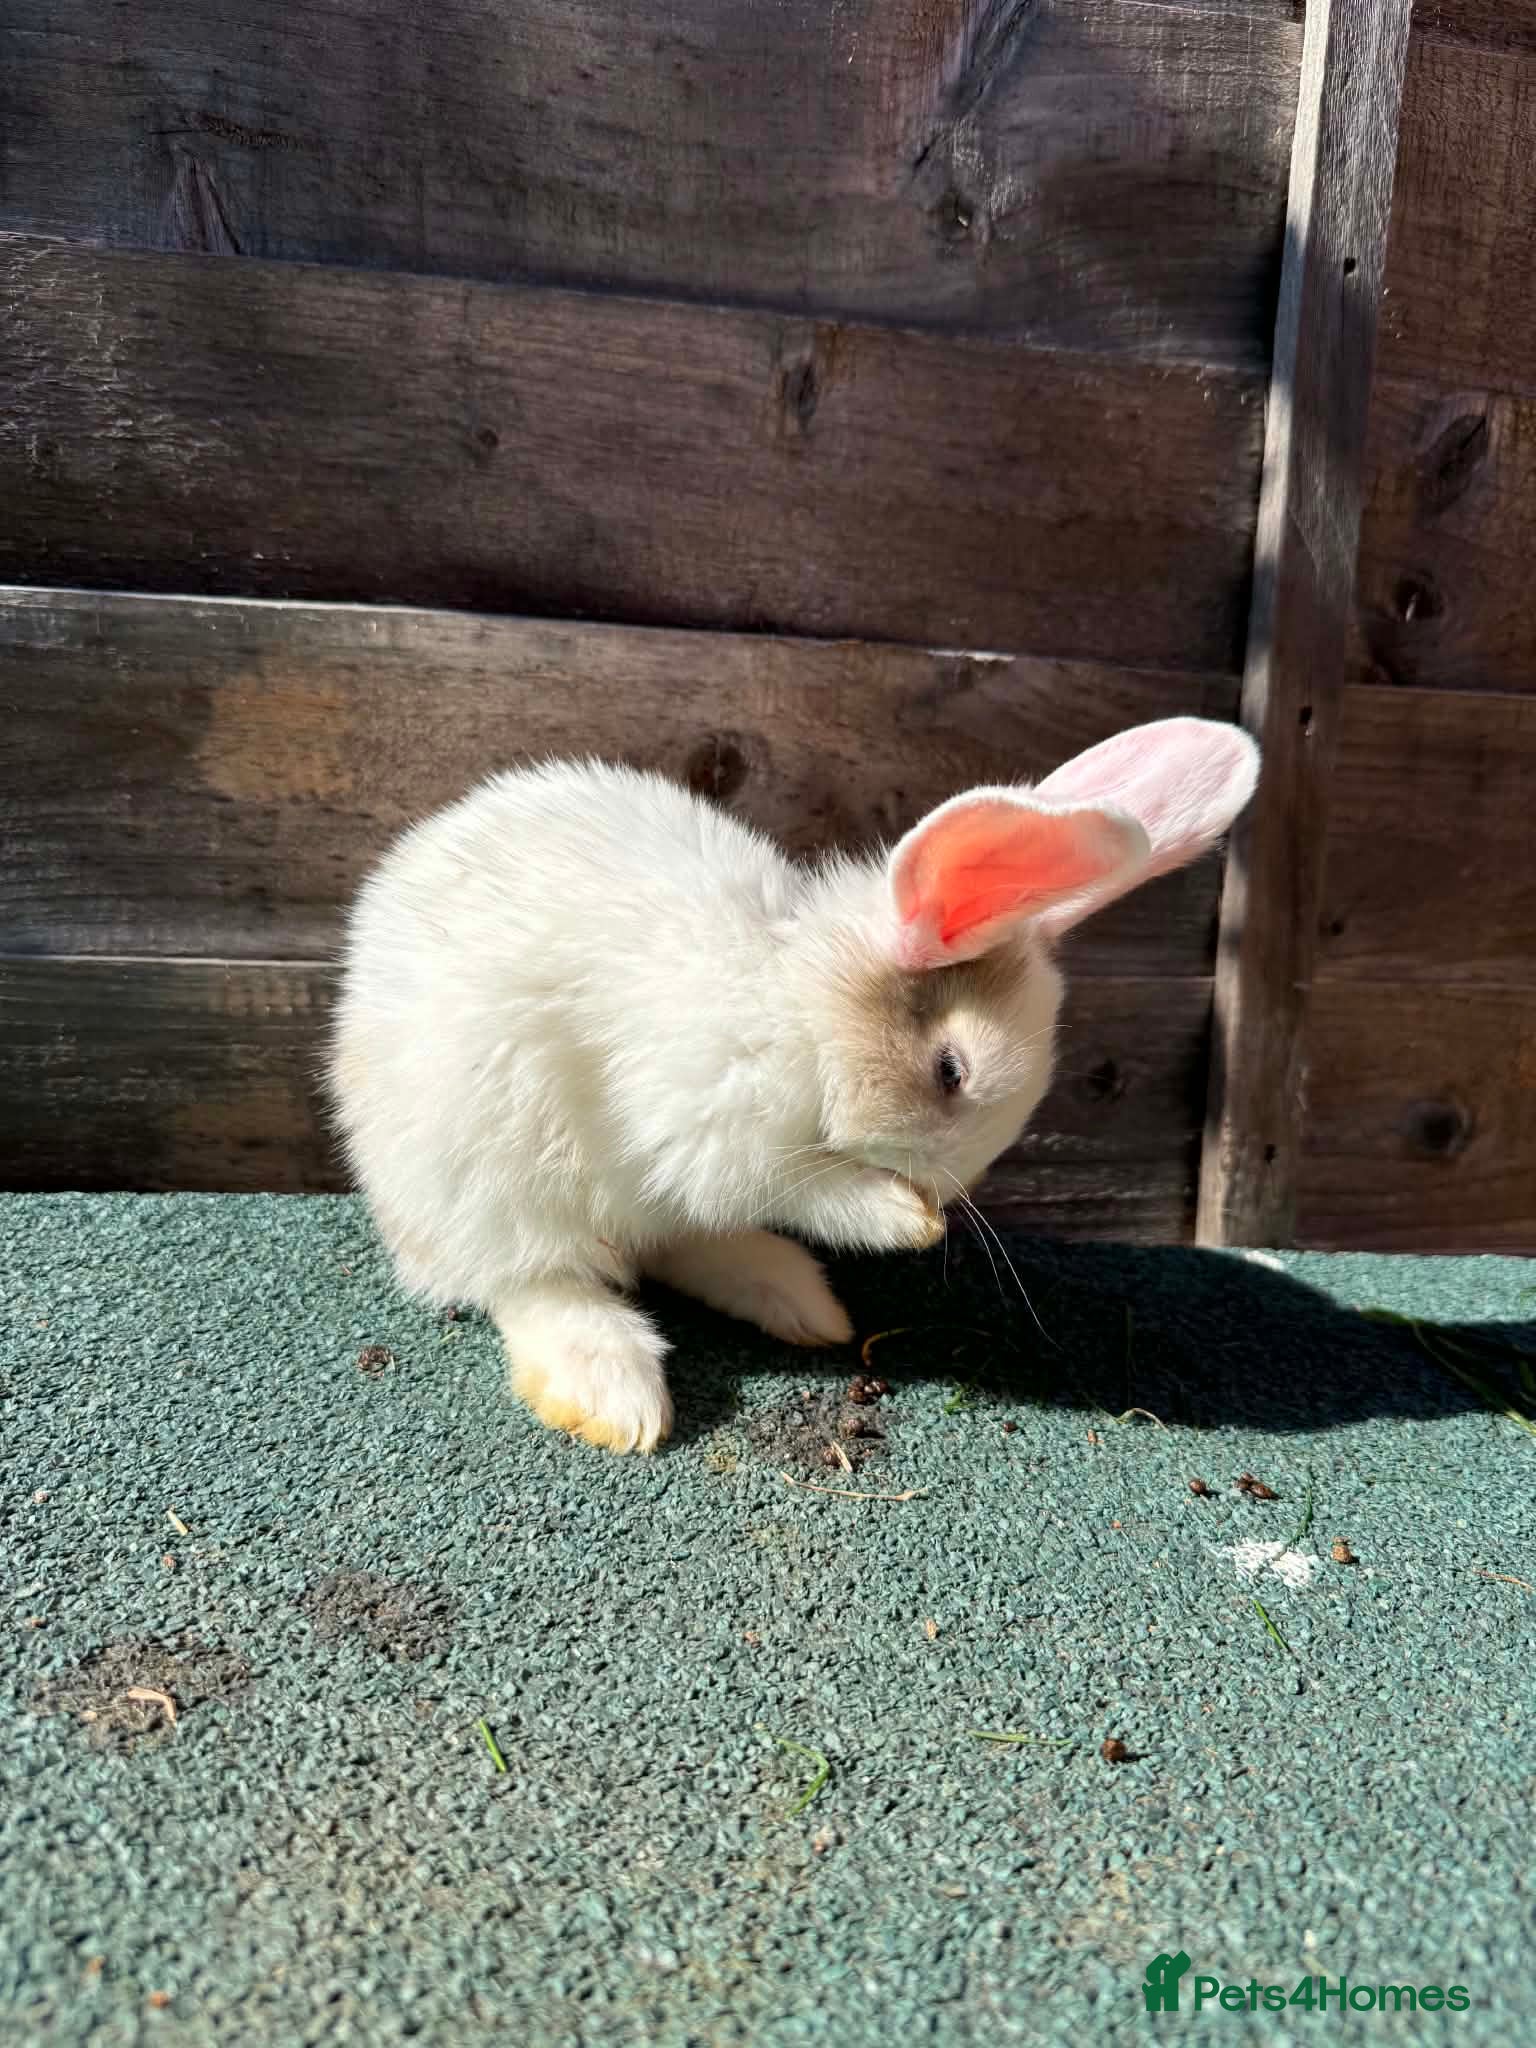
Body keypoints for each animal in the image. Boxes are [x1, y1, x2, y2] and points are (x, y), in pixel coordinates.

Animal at [328, 716, 1258, 1454]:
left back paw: (799, 1303)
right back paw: (612, 1390)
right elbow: (809, 1189)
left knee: (678, 1245)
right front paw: (904, 1221)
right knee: (531, 1280)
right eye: (949, 1071)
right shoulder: (713, 1128)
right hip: (494, 1182)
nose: (940, 1198)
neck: (800, 1005)